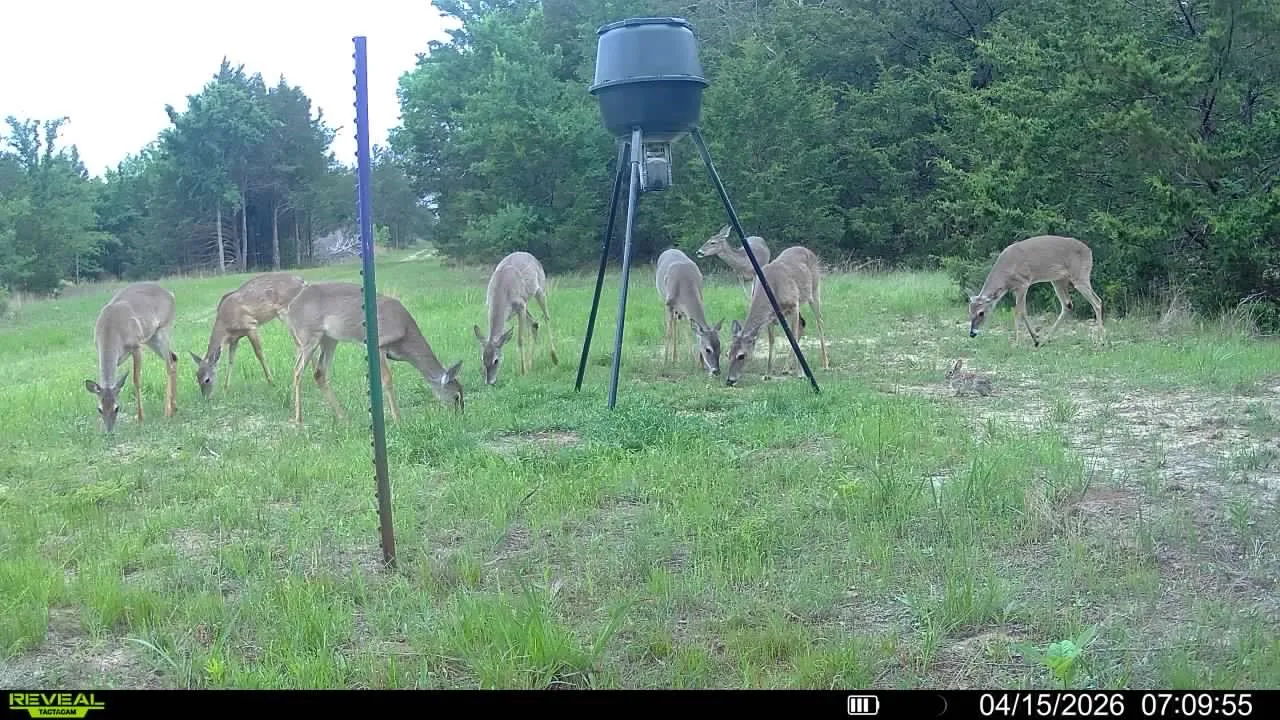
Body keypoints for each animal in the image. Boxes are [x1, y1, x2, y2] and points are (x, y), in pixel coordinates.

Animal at [83, 282, 179, 433]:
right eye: (99, 409)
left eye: (117, 408)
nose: (109, 430)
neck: (111, 332)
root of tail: (170, 294)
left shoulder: (136, 346)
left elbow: (136, 380)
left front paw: (140, 417)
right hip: (152, 338)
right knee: (174, 358)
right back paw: (174, 408)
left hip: (163, 329)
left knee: (169, 366)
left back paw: (167, 412)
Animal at [283, 282, 464, 425]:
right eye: (456, 396)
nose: (460, 415)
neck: (405, 334)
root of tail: (290, 308)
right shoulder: (379, 345)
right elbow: (387, 380)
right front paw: (398, 419)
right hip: (308, 336)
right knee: (297, 371)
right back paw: (298, 418)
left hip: (329, 339)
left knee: (319, 373)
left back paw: (343, 417)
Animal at [472, 251, 558, 386]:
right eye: (482, 359)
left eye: (496, 360)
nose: (489, 381)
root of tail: (531, 256)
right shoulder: (489, 306)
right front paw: (525, 368)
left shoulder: (521, 306)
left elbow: (520, 340)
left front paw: (523, 372)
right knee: (534, 323)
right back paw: (530, 364)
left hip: (540, 290)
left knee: (546, 317)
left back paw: (554, 358)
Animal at [724, 246, 830, 386]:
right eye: (728, 354)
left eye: (741, 355)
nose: (729, 380)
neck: (772, 288)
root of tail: (806, 249)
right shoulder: (770, 317)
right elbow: (772, 341)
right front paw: (767, 374)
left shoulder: (794, 304)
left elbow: (793, 338)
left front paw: (801, 374)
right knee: (802, 325)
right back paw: (786, 368)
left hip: (814, 290)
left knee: (819, 321)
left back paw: (825, 365)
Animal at [966, 234, 1104, 348]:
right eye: (969, 311)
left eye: (981, 313)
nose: (972, 333)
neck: (1006, 273)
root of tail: (1089, 251)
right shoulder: (1016, 289)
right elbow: (1024, 311)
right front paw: (1036, 339)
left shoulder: (1023, 283)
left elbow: (1018, 311)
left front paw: (1017, 343)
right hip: (1058, 280)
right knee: (1067, 305)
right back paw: (1045, 341)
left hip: (1080, 276)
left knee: (1097, 301)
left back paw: (1101, 341)